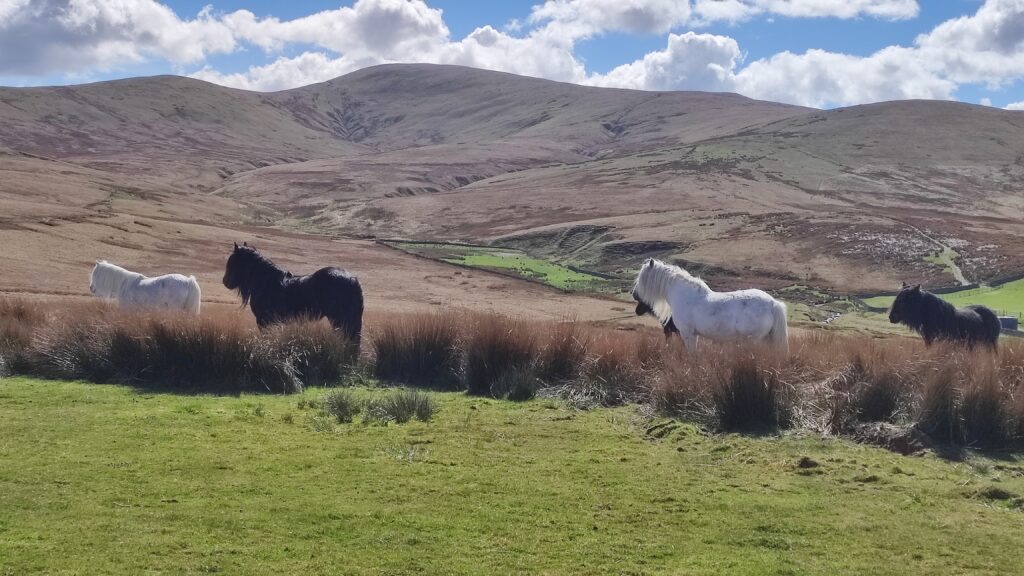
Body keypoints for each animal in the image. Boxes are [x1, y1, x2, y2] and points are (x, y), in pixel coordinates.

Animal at [632, 258, 788, 352]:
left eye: (642, 276)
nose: (634, 294)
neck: (684, 295)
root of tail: (773, 303)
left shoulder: (687, 333)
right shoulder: (693, 334)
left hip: (754, 341)